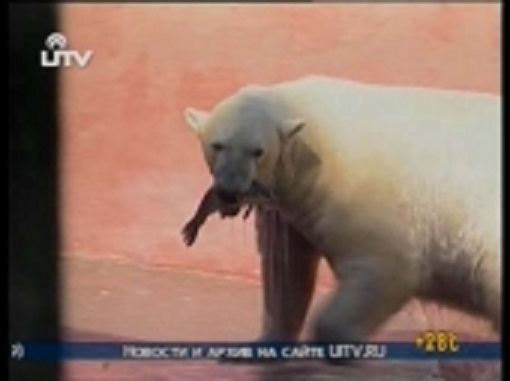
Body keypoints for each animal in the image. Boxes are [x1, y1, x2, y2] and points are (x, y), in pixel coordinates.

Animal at [183, 76, 502, 342]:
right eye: (218, 145)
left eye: (257, 151)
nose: (230, 191)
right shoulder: (287, 203)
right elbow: (285, 271)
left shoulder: (362, 194)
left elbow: (386, 267)